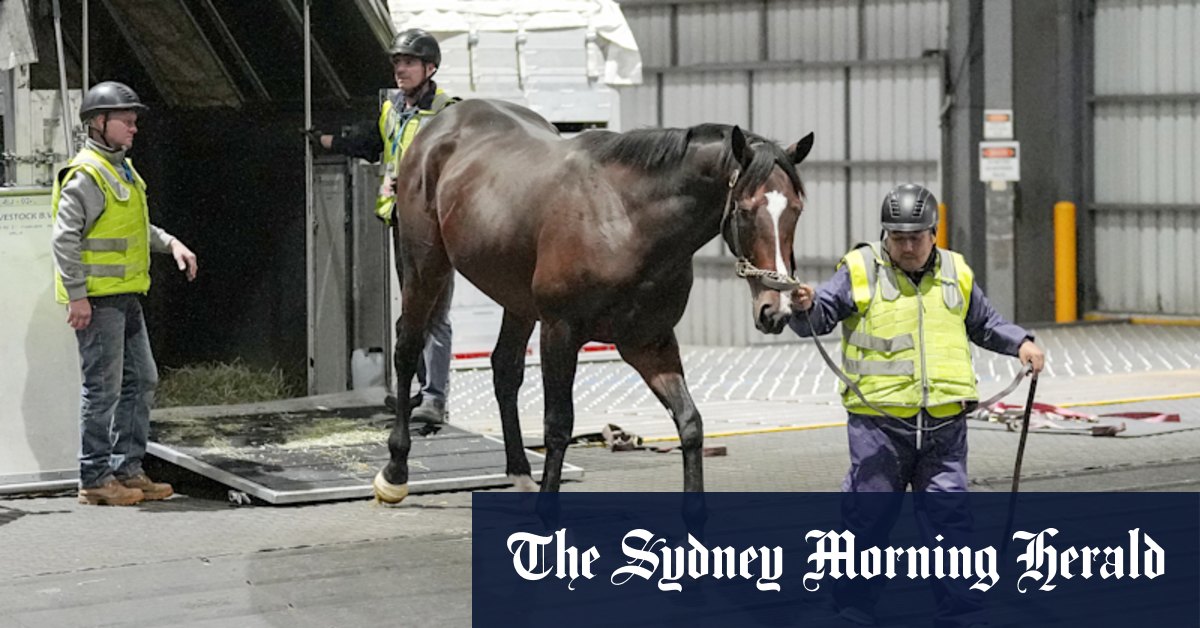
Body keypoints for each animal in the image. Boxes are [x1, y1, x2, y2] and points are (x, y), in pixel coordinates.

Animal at [372, 98, 813, 503]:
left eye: (796, 209)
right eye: (745, 210)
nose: (777, 309)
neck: (626, 220)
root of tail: (442, 122)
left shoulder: (649, 343)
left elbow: (690, 423)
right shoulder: (560, 332)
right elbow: (558, 426)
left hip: (515, 299)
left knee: (505, 369)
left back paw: (519, 472)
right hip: (426, 267)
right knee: (408, 349)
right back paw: (395, 473)